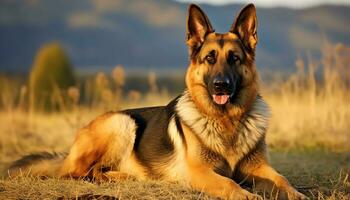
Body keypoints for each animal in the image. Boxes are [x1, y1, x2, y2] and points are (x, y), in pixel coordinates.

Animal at [8, 3, 306, 200]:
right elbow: (231, 185)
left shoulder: (260, 168)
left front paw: (297, 194)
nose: (221, 85)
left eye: (234, 58)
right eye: (210, 58)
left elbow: (283, 180)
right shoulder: (201, 172)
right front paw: (249, 195)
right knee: (80, 172)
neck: (226, 120)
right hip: (122, 123)